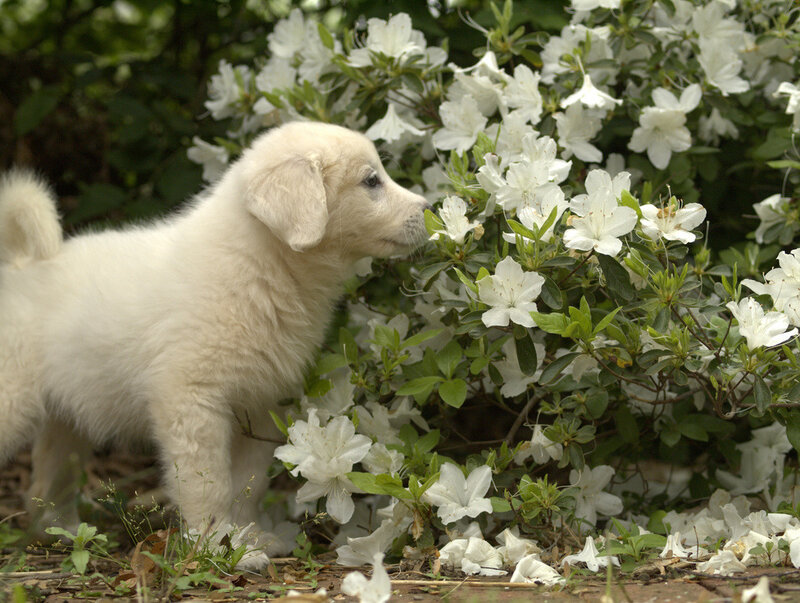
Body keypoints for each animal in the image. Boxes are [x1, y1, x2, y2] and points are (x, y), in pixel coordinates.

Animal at [0, 121, 432, 568]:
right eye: (371, 181)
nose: (429, 210)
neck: (262, 265)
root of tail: (20, 266)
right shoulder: (192, 401)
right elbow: (208, 483)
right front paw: (218, 546)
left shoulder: (261, 405)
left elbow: (248, 482)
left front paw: (248, 538)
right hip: (12, 400)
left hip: (67, 416)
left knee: (49, 478)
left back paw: (62, 532)